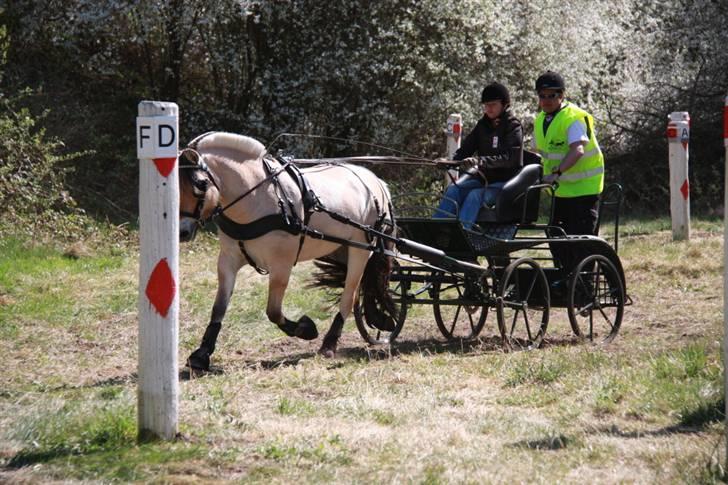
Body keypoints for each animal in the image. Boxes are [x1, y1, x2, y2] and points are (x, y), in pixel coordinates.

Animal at [178, 130, 396, 368]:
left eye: (200, 184)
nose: (182, 232)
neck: (257, 198)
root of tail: (376, 181)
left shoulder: (281, 265)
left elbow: (273, 312)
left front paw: (306, 329)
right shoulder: (228, 259)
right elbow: (219, 307)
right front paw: (202, 353)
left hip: (361, 249)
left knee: (350, 294)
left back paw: (329, 344)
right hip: (344, 248)